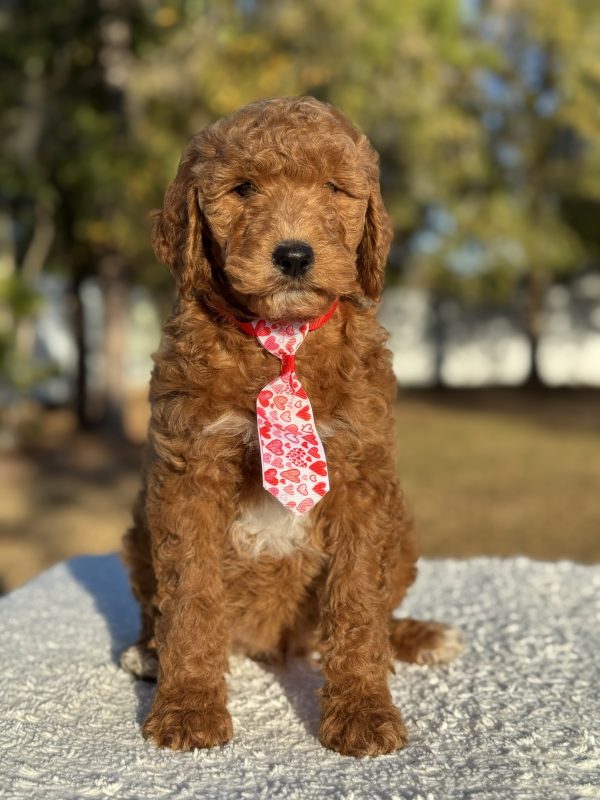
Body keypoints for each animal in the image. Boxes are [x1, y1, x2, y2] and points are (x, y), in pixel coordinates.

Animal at [121, 96, 462, 757]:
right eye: (243, 189)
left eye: (333, 188)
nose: (295, 255)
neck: (281, 339)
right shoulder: (187, 471)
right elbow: (190, 598)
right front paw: (188, 707)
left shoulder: (360, 473)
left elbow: (358, 604)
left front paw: (363, 712)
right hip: (137, 528)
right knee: (157, 605)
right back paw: (148, 653)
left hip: (403, 529)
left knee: (381, 610)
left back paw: (417, 637)